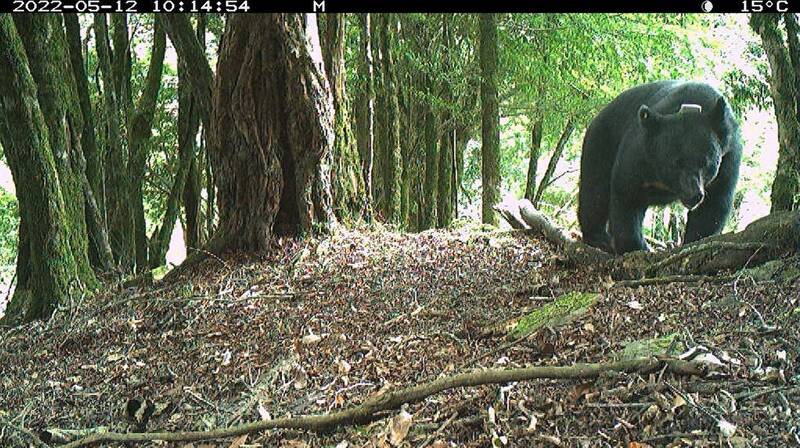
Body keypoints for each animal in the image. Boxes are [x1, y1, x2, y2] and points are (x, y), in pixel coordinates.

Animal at [580, 80, 740, 254]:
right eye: (675, 164)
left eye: (705, 162)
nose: (693, 195)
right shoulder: (639, 151)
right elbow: (627, 194)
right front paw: (635, 247)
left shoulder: (728, 159)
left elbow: (713, 206)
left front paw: (695, 241)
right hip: (602, 141)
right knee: (595, 189)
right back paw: (599, 239)